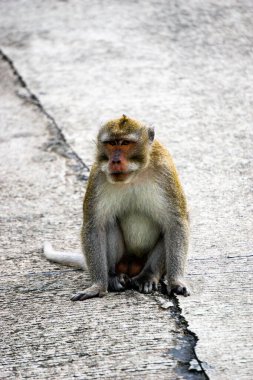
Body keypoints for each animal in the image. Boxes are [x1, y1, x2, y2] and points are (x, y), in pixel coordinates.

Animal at [43, 115, 190, 300]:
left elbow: (175, 224)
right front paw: (98, 286)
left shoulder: (165, 171)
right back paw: (112, 276)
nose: (115, 160)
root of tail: (132, 266)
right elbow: (95, 226)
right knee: (108, 223)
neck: (134, 175)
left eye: (125, 143)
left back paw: (148, 275)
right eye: (111, 144)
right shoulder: (97, 176)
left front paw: (176, 281)